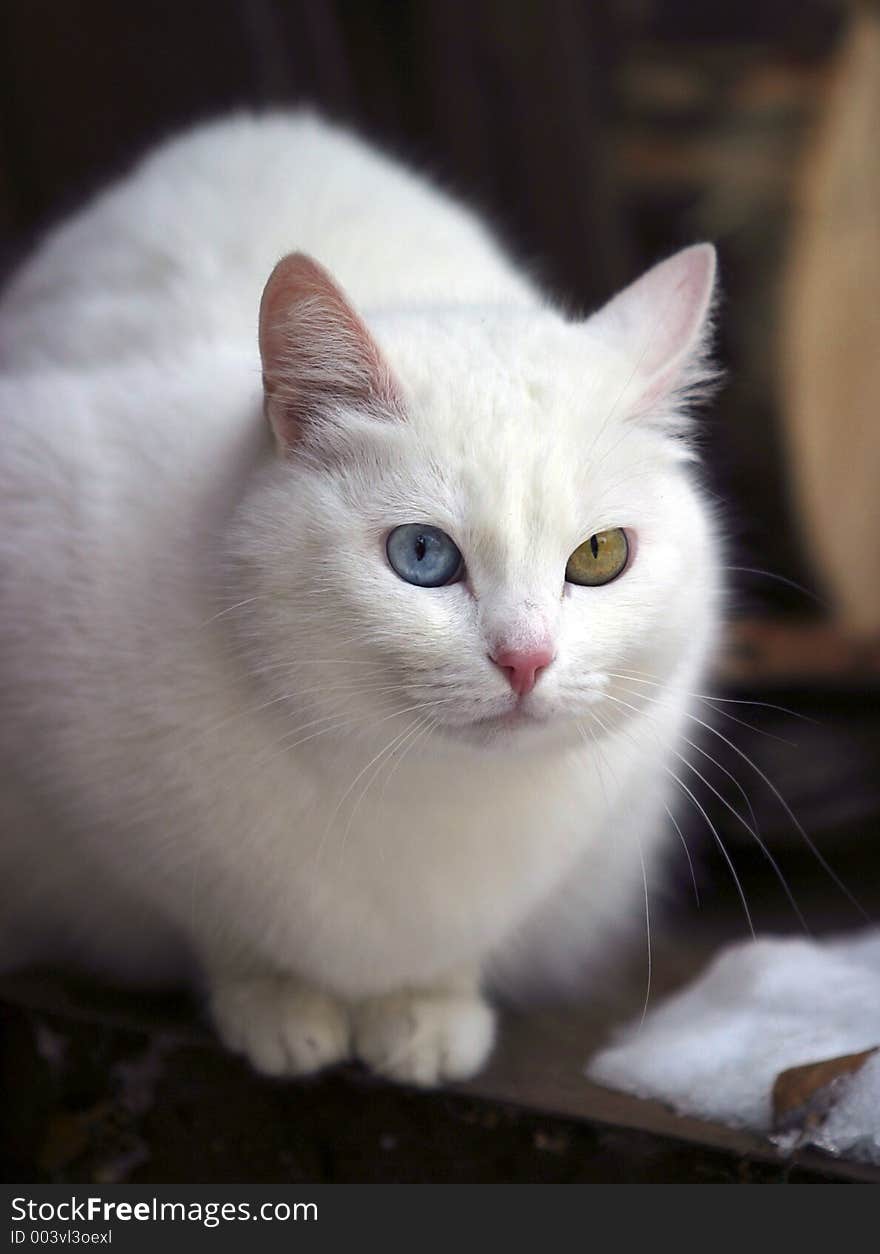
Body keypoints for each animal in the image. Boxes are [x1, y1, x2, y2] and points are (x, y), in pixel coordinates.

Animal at [0, 112, 722, 1083]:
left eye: (600, 556)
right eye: (422, 555)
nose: (526, 659)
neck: (412, 788)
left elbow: (456, 950)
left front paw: (427, 1013)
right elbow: (219, 921)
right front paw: (277, 1007)